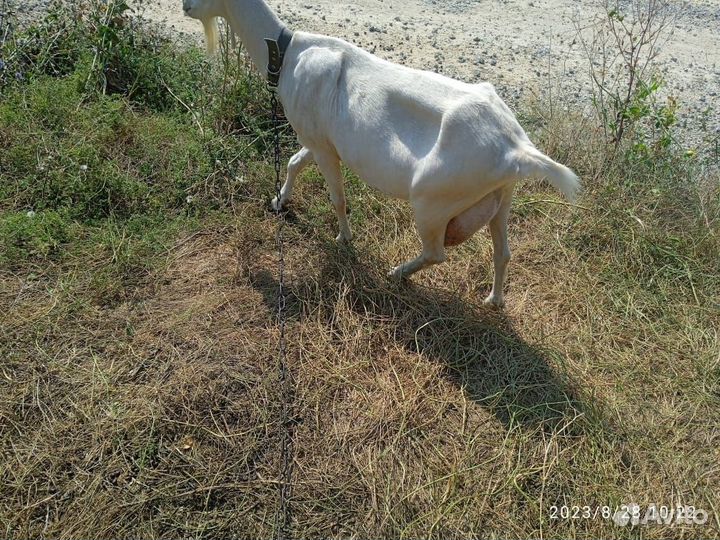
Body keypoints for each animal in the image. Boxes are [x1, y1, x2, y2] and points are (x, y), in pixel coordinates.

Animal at [182, 0, 580, 307]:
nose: (185, 6)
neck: (288, 52)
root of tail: (517, 147)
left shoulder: (323, 145)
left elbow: (337, 198)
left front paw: (344, 240)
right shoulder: (320, 139)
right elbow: (295, 163)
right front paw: (279, 202)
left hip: (433, 201)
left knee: (436, 252)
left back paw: (397, 273)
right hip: (501, 197)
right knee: (502, 251)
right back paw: (494, 300)